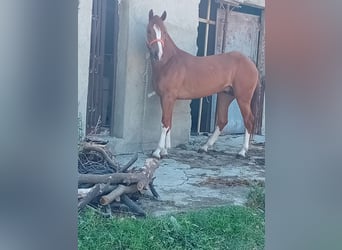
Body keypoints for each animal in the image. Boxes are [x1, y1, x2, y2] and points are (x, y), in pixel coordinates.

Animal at [146, 9, 260, 159]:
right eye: (149, 30)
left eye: (164, 32)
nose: (157, 54)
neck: (169, 62)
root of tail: (251, 63)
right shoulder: (165, 98)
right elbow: (169, 122)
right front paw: (165, 150)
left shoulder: (168, 97)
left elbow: (164, 123)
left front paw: (157, 151)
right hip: (226, 95)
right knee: (222, 121)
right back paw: (205, 147)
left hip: (243, 98)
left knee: (249, 120)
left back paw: (242, 151)